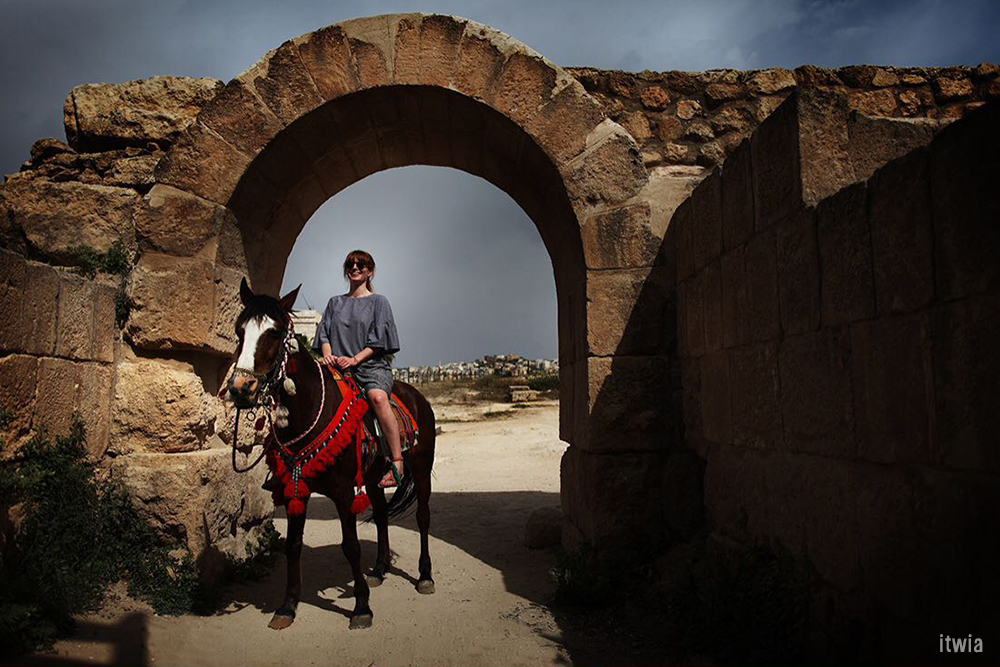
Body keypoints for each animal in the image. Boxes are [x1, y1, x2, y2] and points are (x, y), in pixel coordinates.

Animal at [226, 278, 436, 630]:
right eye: (240, 330)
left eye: (274, 333)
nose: (241, 389)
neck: (309, 409)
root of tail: (417, 396)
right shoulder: (296, 488)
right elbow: (293, 546)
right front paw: (287, 607)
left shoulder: (341, 491)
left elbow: (350, 546)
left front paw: (362, 607)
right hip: (375, 479)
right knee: (381, 515)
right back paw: (379, 569)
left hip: (421, 470)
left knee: (422, 517)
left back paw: (424, 576)